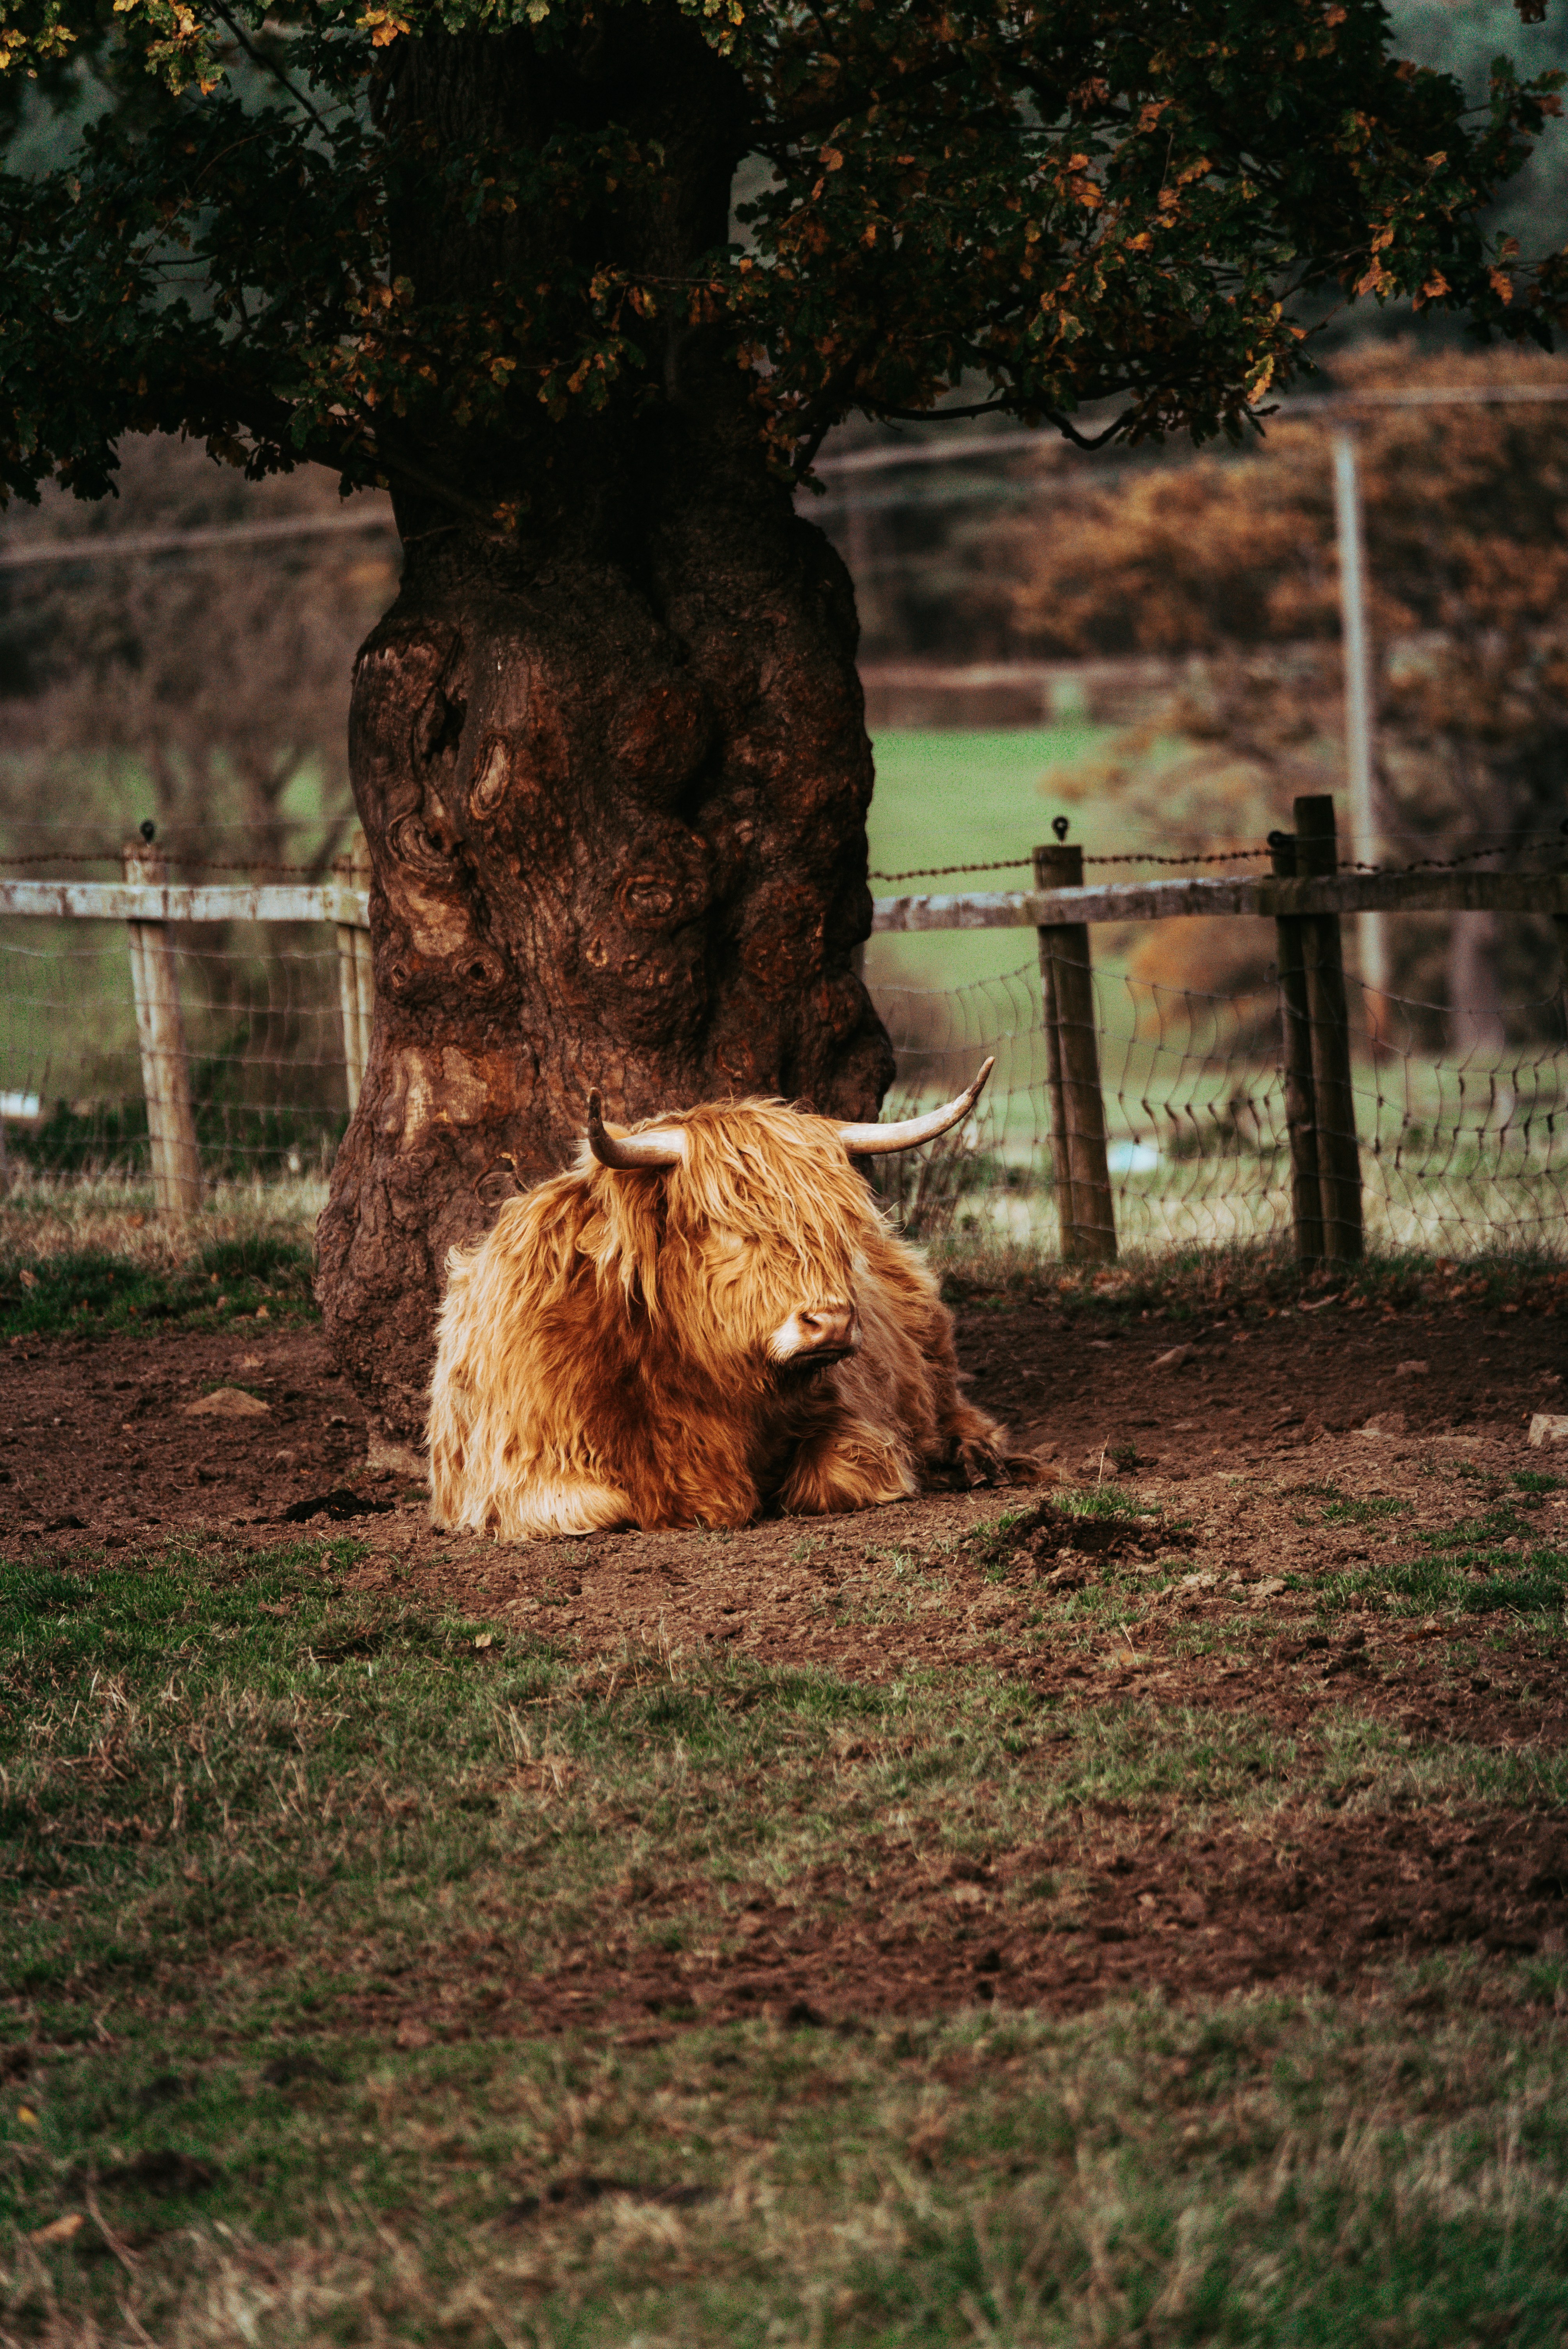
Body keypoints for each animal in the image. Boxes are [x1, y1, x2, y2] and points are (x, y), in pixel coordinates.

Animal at [426, 1059, 1044, 1539]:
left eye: (835, 1225)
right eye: (726, 1227)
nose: (831, 1322)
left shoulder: (859, 1422)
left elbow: (836, 1476)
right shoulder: (521, 1475)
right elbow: (605, 1505)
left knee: (958, 1410)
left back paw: (975, 1461)